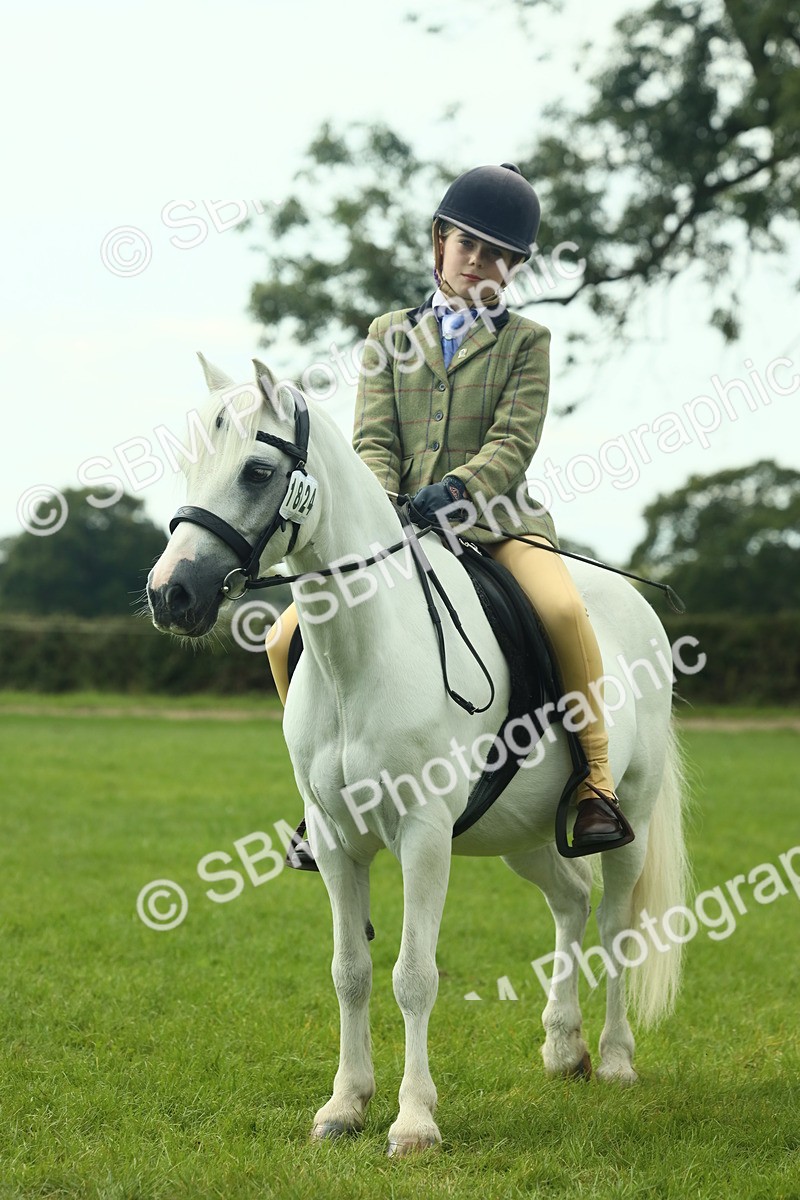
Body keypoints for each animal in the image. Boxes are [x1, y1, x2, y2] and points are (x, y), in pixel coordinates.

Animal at [147, 354, 689, 1157]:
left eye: (255, 470)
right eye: (192, 464)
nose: (171, 594)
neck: (362, 652)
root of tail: (637, 608)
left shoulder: (425, 836)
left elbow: (414, 975)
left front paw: (413, 1121)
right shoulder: (336, 840)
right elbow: (350, 970)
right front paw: (344, 1106)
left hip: (634, 818)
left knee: (618, 923)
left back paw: (617, 1059)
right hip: (522, 834)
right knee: (571, 900)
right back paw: (564, 1047)